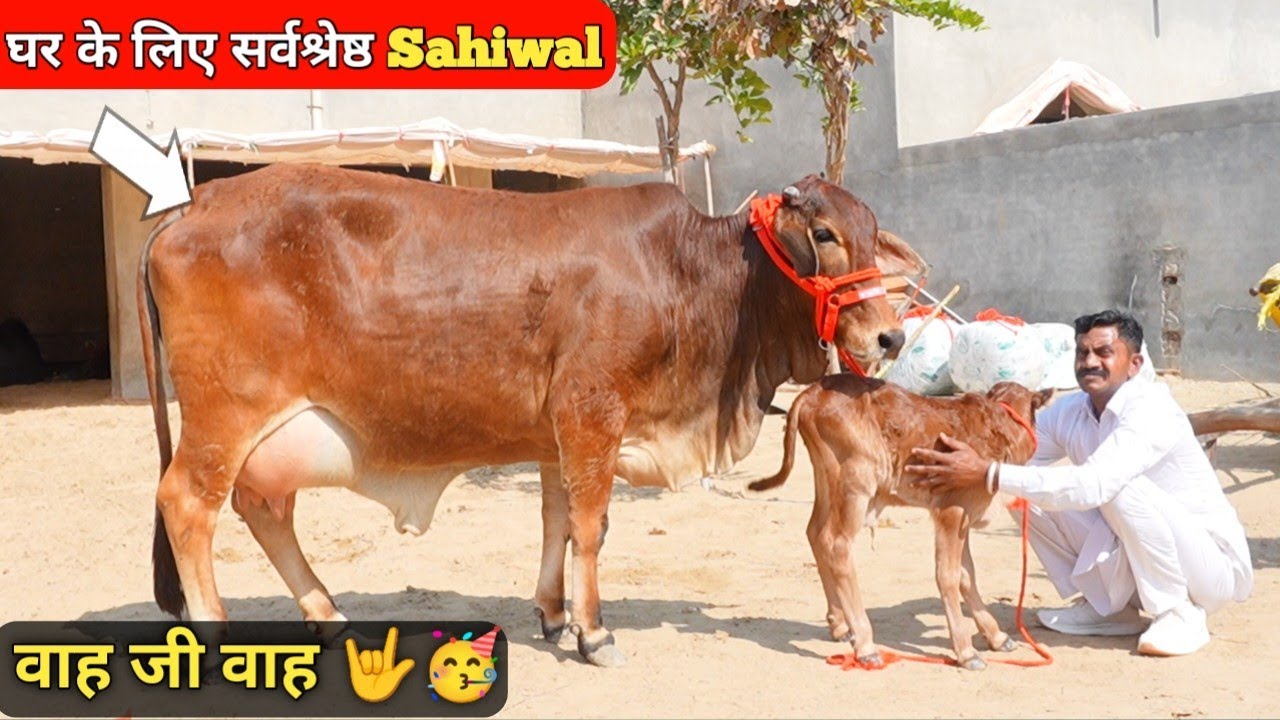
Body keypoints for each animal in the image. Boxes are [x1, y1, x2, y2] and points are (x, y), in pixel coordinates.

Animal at [138, 164, 923, 666]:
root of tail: (194, 204)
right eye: (824, 234)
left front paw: (552, 612)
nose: (891, 336)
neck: (686, 273)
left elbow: (557, 520)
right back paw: (215, 640)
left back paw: (329, 616)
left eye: (872, 231)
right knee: (187, 503)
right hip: (225, 414)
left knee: (262, 509)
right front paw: (593, 632)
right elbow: (591, 525)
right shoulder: (591, 408)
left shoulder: (556, 432)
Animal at [749, 377, 1051, 669]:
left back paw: (840, 626)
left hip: (827, 482)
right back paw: (865, 645)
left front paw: (997, 637)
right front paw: (966, 651)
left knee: (814, 532)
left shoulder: (963, 519)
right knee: (836, 544)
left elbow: (967, 575)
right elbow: (948, 576)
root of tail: (810, 393)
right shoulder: (951, 512)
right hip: (855, 485)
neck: (999, 425)